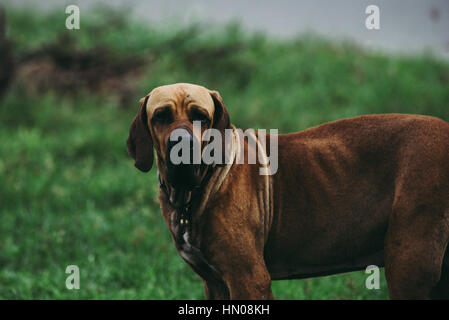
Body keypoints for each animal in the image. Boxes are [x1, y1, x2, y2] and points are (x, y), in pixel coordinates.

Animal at [125, 83, 448, 300]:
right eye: (161, 116)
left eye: (201, 116)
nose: (182, 144)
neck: (195, 192)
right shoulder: (216, 283)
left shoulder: (249, 280)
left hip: (408, 265)